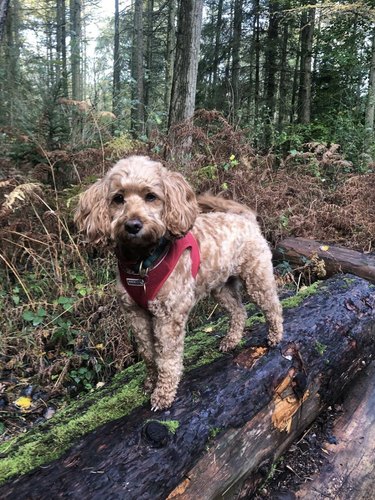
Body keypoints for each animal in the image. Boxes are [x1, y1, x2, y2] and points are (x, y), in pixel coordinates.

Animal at [75, 156, 284, 410]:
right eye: (118, 198)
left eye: (151, 196)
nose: (133, 225)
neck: (143, 262)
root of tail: (245, 218)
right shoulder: (136, 314)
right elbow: (148, 353)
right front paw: (150, 382)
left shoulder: (168, 316)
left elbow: (167, 358)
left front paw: (163, 393)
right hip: (221, 287)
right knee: (239, 311)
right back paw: (231, 340)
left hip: (257, 278)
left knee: (272, 306)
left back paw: (275, 336)